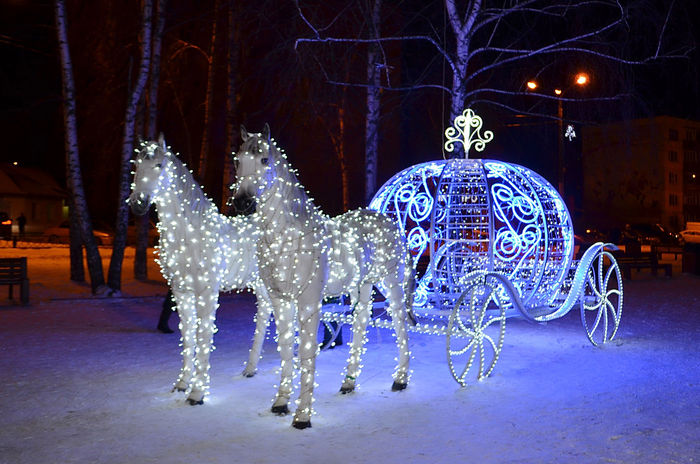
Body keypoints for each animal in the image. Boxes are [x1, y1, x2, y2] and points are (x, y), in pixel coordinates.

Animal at [126, 136, 270, 404]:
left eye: (159, 165)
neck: (189, 234)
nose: (138, 204)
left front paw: (197, 394)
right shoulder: (181, 292)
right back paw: (250, 369)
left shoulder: (206, 293)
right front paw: (182, 384)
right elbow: (188, 337)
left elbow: (204, 337)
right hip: (262, 287)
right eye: (137, 163)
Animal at [232, 125, 416, 430]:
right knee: (361, 325)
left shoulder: (309, 302)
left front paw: (302, 416)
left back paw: (400, 379)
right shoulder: (280, 301)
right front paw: (280, 403)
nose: (242, 203)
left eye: (264, 160)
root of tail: (388, 220)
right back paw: (348, 384)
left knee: (401, 325)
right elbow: (286, 350)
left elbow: (306, 353)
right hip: (362, 286)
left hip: (390, 283)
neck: (287, 239)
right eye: (237, 160)